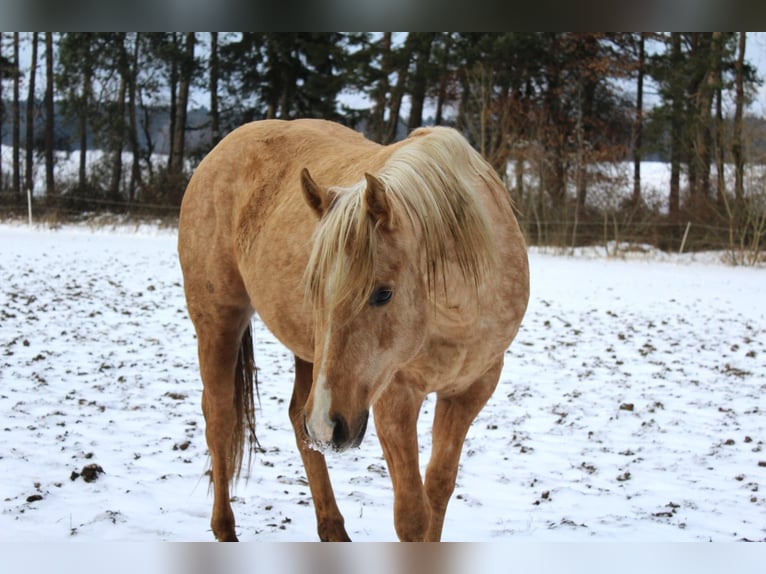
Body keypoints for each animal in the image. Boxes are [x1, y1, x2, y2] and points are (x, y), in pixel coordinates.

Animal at [177, 119, 529, 542]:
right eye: (313, 287)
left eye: (383, 293)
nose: (329, 426)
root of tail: (220, 150)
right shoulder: (394, 399)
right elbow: (412, 515)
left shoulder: (471, 390)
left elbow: (439, 488)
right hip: (219, 322)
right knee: (220, 420)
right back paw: (225, 528)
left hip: (310, 359)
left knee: (297, 420)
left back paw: (333, 528)